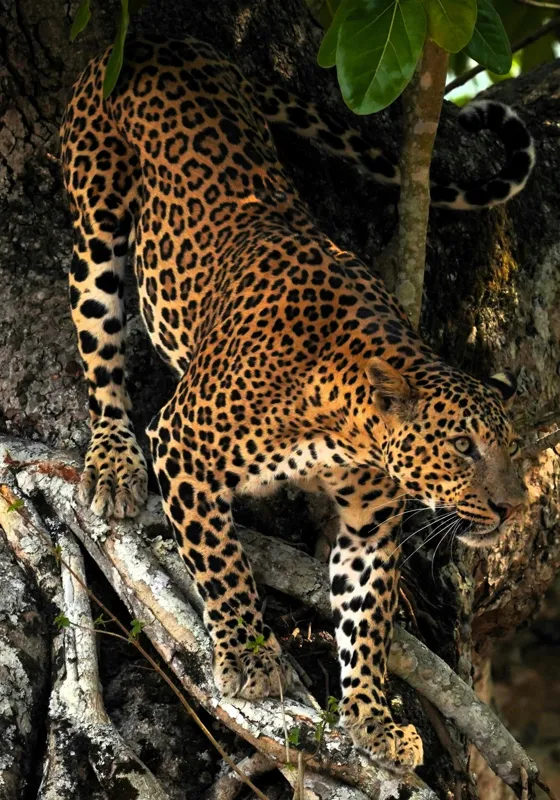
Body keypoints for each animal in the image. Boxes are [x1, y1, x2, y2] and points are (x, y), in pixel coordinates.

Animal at [60, 34, 532, 771]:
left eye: (511, 451)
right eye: (464, 447)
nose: (514, 508)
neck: (344, 422)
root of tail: (162, 39)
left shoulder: (368, 526)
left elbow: (365, 621)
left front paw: (373, 719)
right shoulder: (182, 444)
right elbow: (221, 561)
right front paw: (248, 658)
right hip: (96, 217)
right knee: (98, 343)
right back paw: (112, 463)